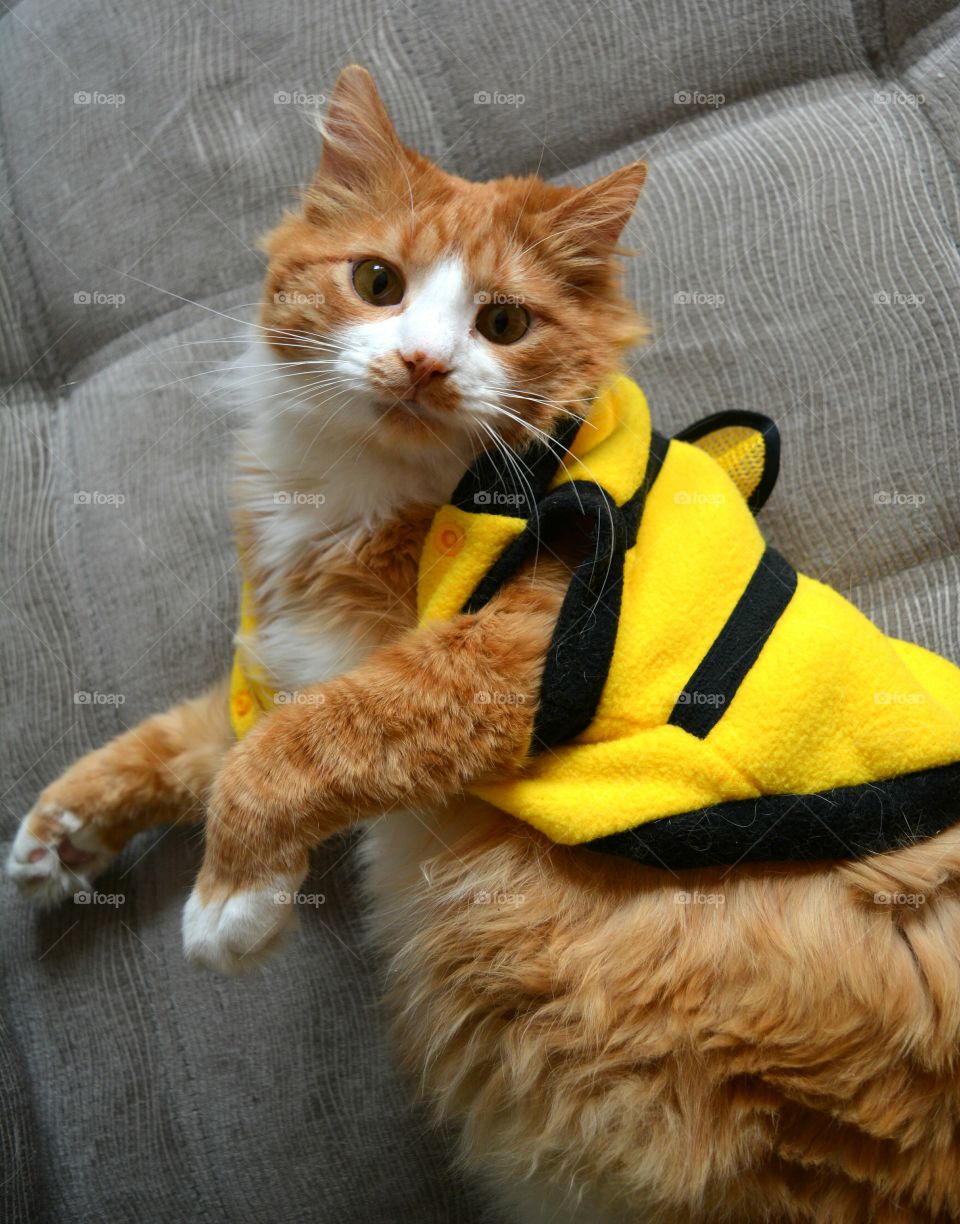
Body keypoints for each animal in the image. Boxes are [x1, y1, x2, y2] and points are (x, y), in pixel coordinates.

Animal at [7, 67, 960, 1224]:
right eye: (376, 282)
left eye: (502, 322)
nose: (422, 362)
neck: (370, 500)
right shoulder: (294, 657)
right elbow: (188, 744)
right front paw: (59, 838)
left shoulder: (503, 657)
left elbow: (286, 755)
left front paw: (232, 904)